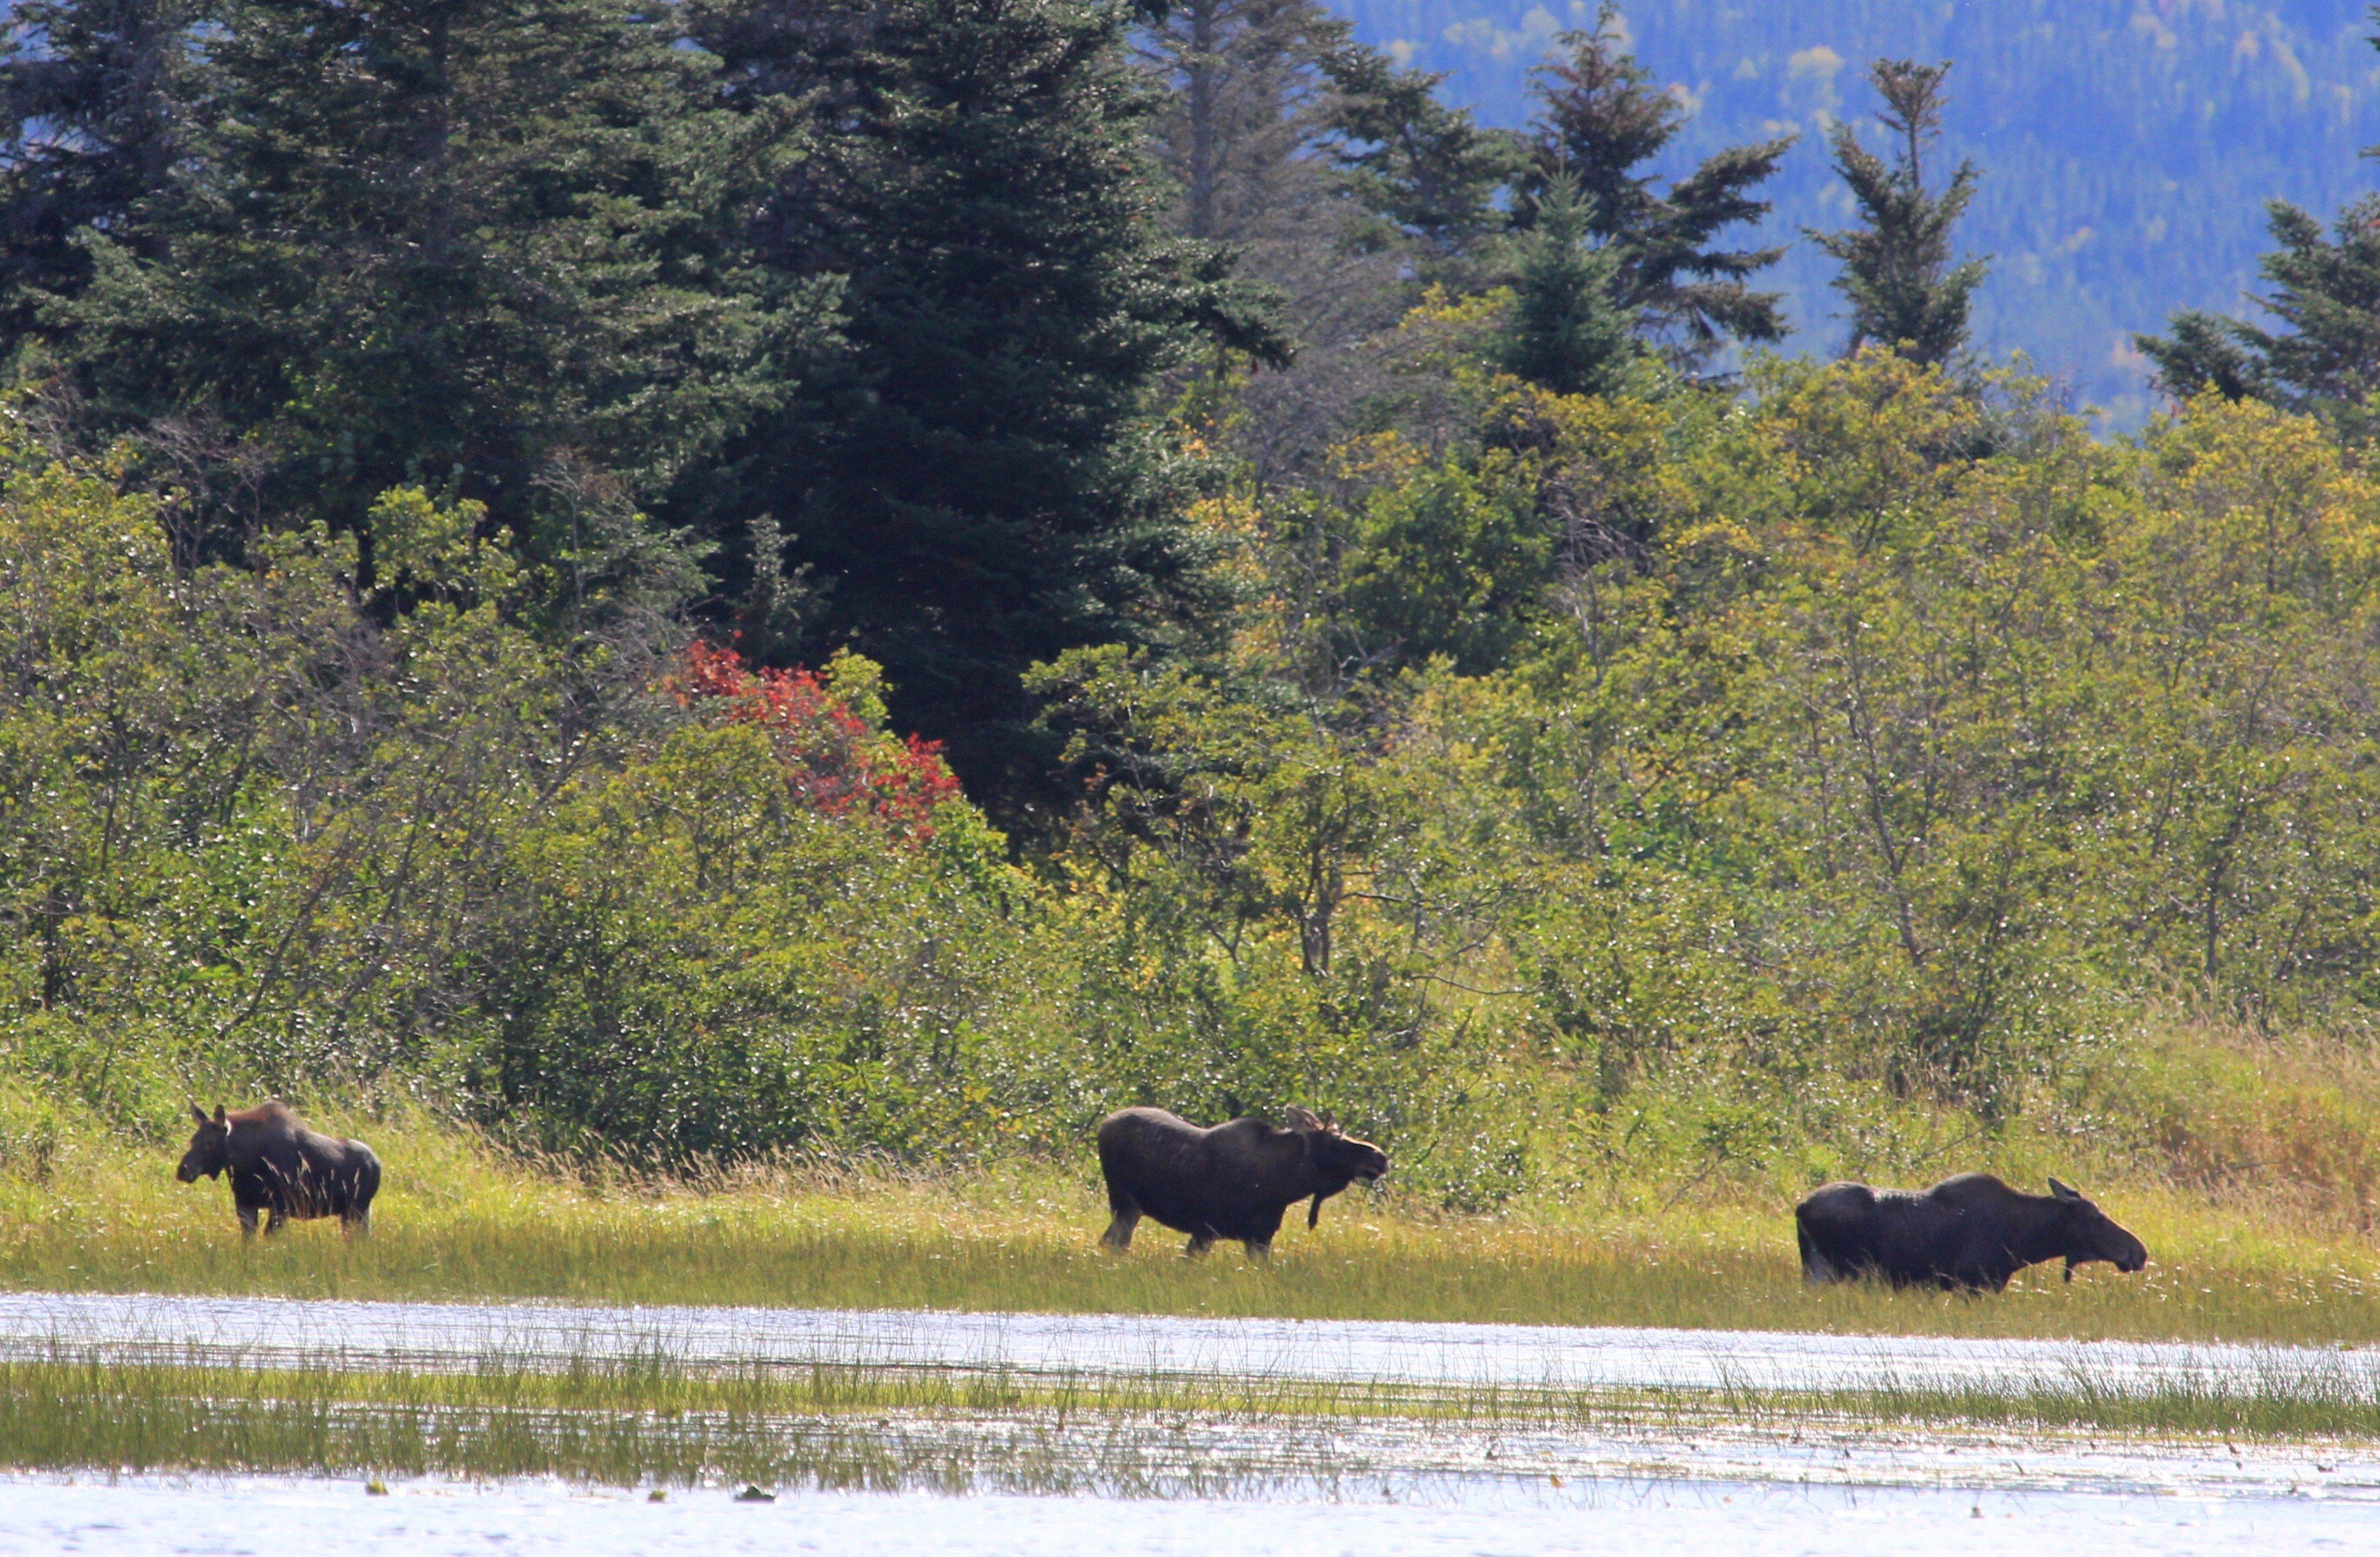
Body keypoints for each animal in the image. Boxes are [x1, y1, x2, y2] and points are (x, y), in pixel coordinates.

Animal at [178, 1109, 381, 1247]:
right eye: (192, 1140)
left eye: (210, 1142)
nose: (183, 1170)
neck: (245, 1163)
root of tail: (378, 1163)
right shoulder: (245, 1202)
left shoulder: (281, 1205)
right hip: (353, 1211)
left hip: (357, 1208)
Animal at [1099, 1104, 1390, 1266]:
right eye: (1336, 1141)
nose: (1380, 1157)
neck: (1282, 1186)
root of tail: (1103, 1125)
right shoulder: (1205, 1229)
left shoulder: (1261, 1238)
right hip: (1125, 1203)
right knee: (1114, 1243)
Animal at [1789, 1176, 2151, 1295]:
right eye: (2097, 1216)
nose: (2139, 1251)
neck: (2024, 1241)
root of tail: (1800, 1207)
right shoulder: (1973, 1284)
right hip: (1837, 1270)